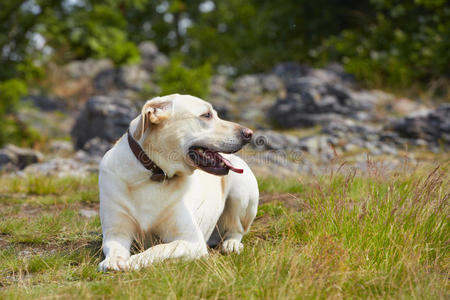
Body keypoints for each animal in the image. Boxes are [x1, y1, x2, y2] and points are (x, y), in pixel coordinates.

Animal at [98, 94, 260, 272]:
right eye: (206, 115)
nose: (249, 133)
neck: (154, 175)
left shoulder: (192, 242)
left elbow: (159, 248)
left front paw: (135, 260)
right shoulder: (116, 232)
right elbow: (115, 247)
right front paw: (114, 260)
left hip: (242, 192)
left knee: (237, 229)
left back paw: (231, 244)